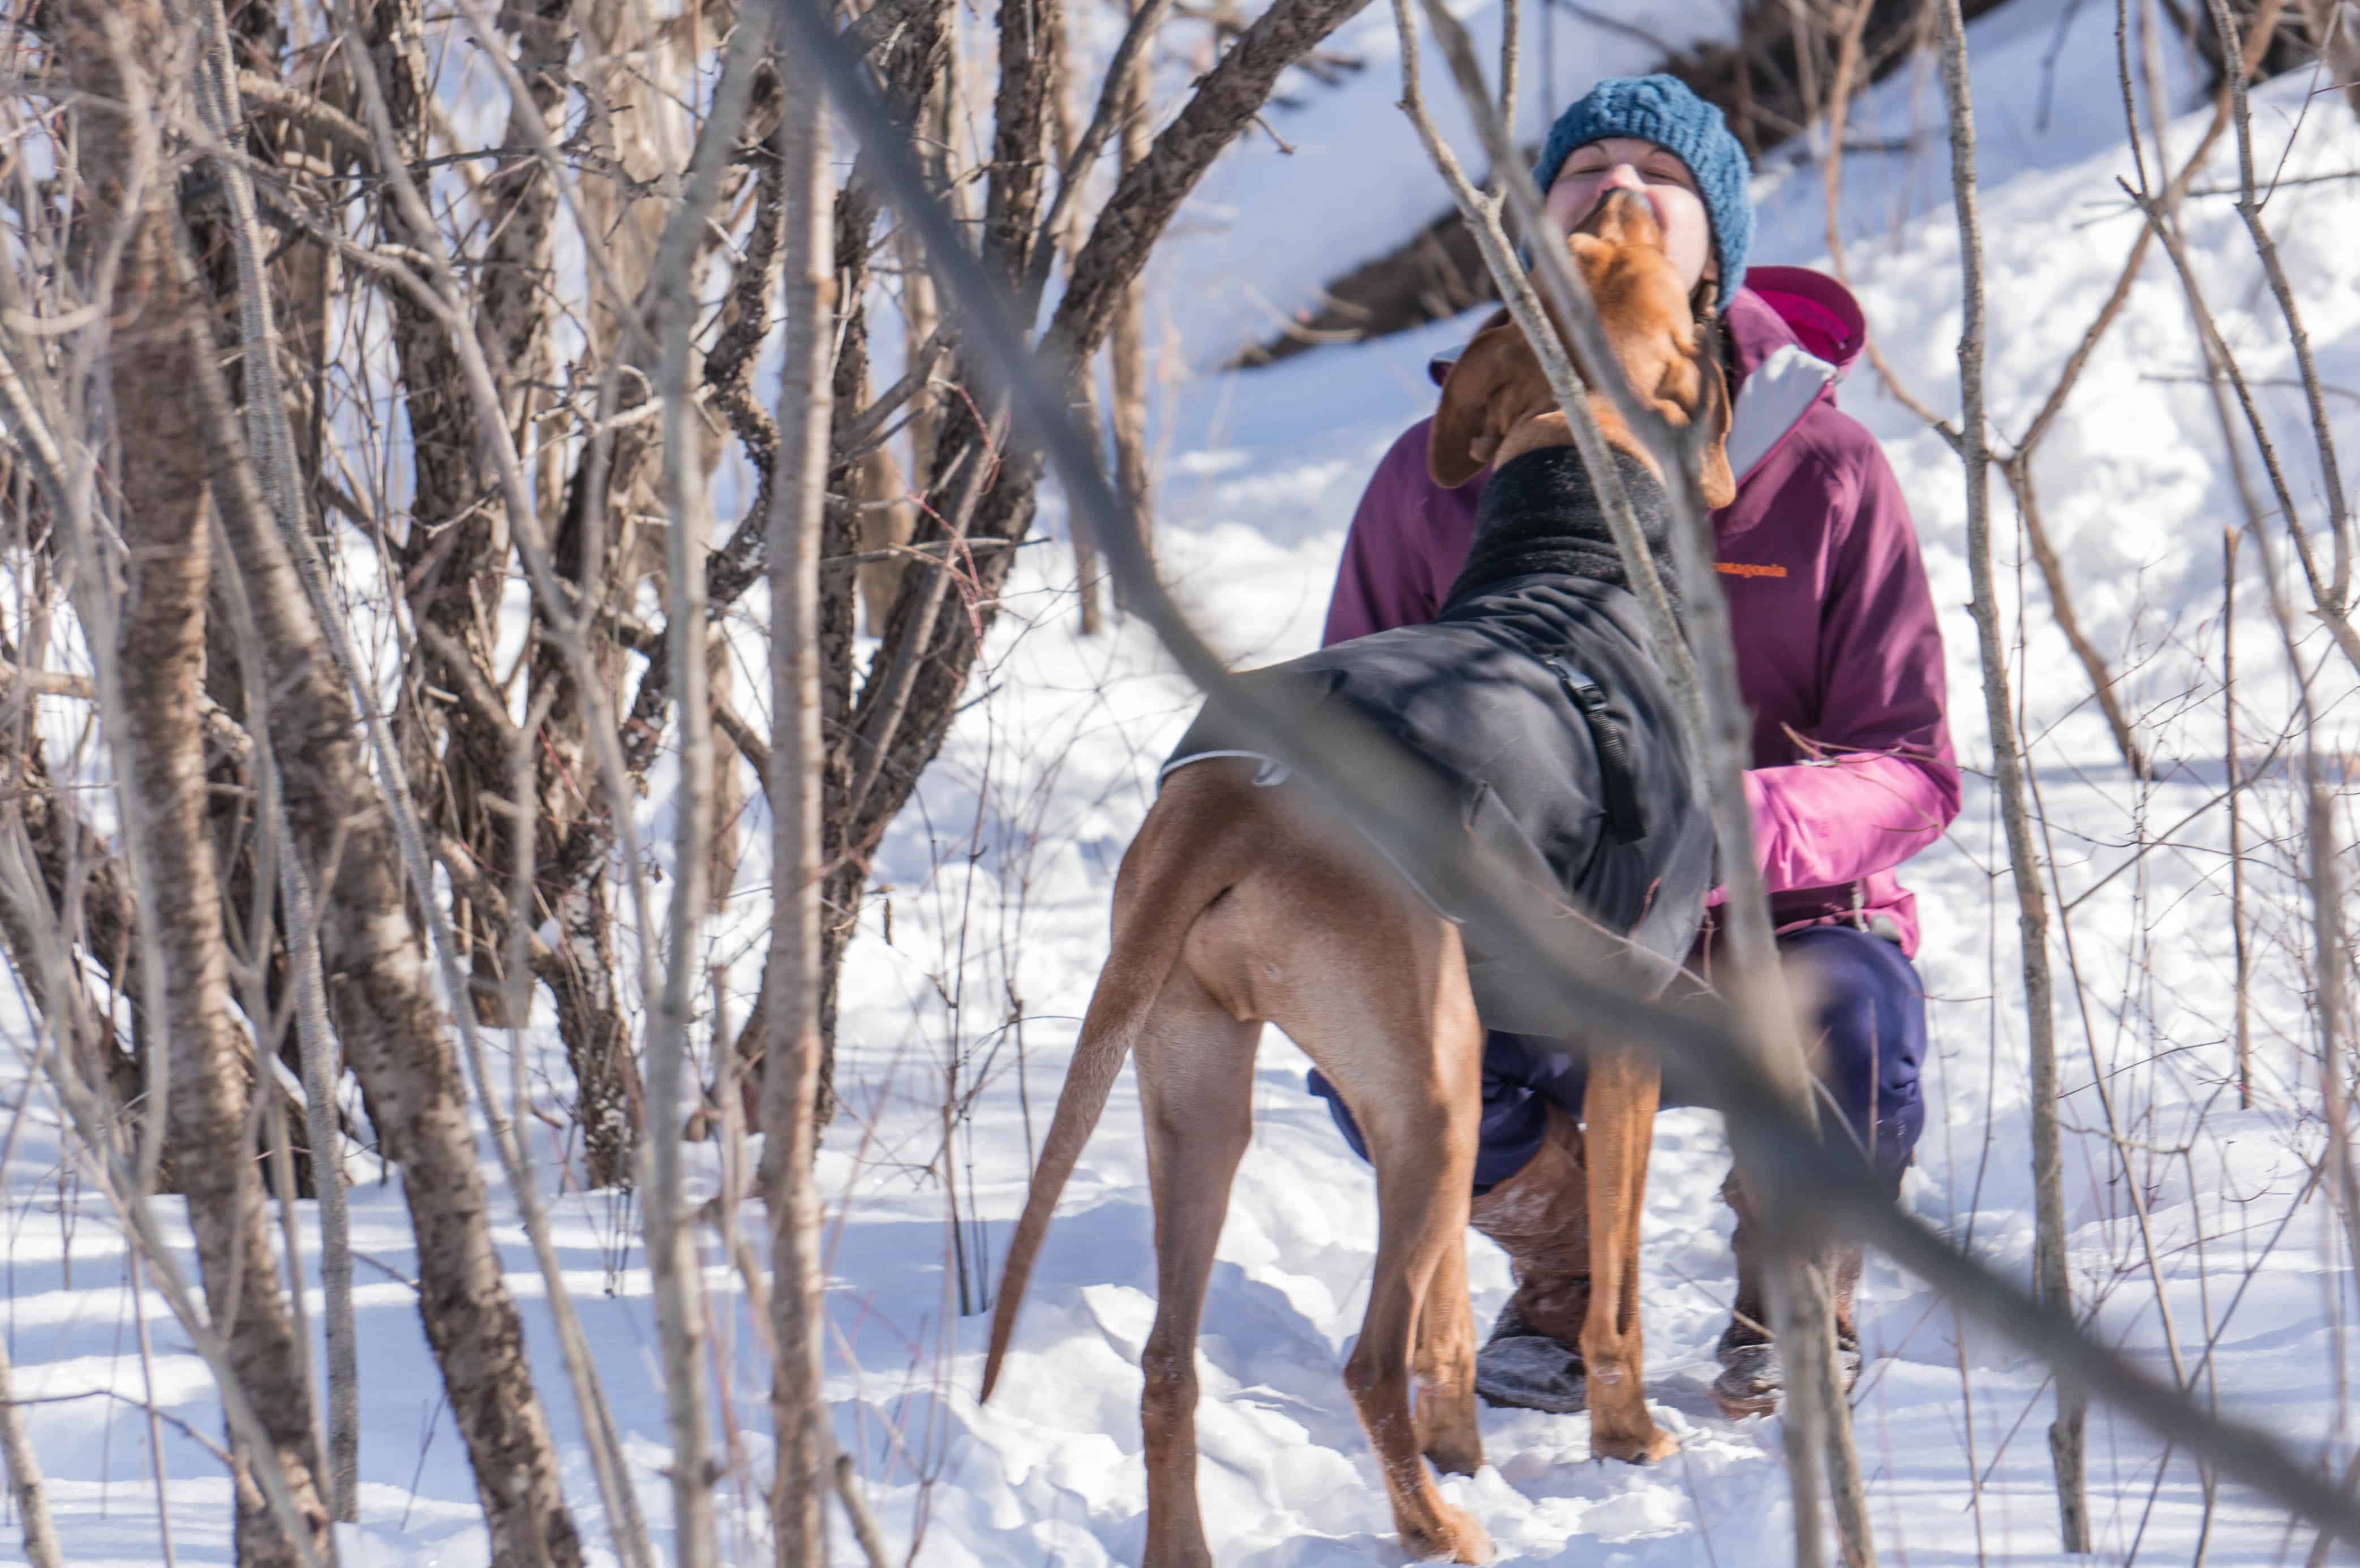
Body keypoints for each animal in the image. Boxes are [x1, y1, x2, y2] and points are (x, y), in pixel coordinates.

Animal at [977, 196, 1736, 1568]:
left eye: (1588, 252)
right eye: (1639, 261)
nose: (1622, 197)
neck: (1575, 527)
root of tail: (1232, 794)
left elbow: (1450, 1320)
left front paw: (1466, 1448)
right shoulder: (1627, 1029)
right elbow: (1614, 1291)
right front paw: (1628, 1436)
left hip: (1210, 1093)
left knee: (1170, 1363)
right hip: (1431, 1101)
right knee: (1366, 1361)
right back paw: (1440, 1531)